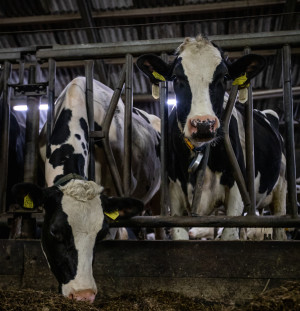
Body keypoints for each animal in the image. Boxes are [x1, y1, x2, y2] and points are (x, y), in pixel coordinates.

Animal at [137, 34, 288, 241]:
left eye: (223, 77)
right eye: (176, 78)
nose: (203, 124)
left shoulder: (237, 194)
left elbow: (229, 234)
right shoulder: (174, 198)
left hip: (281, 189)